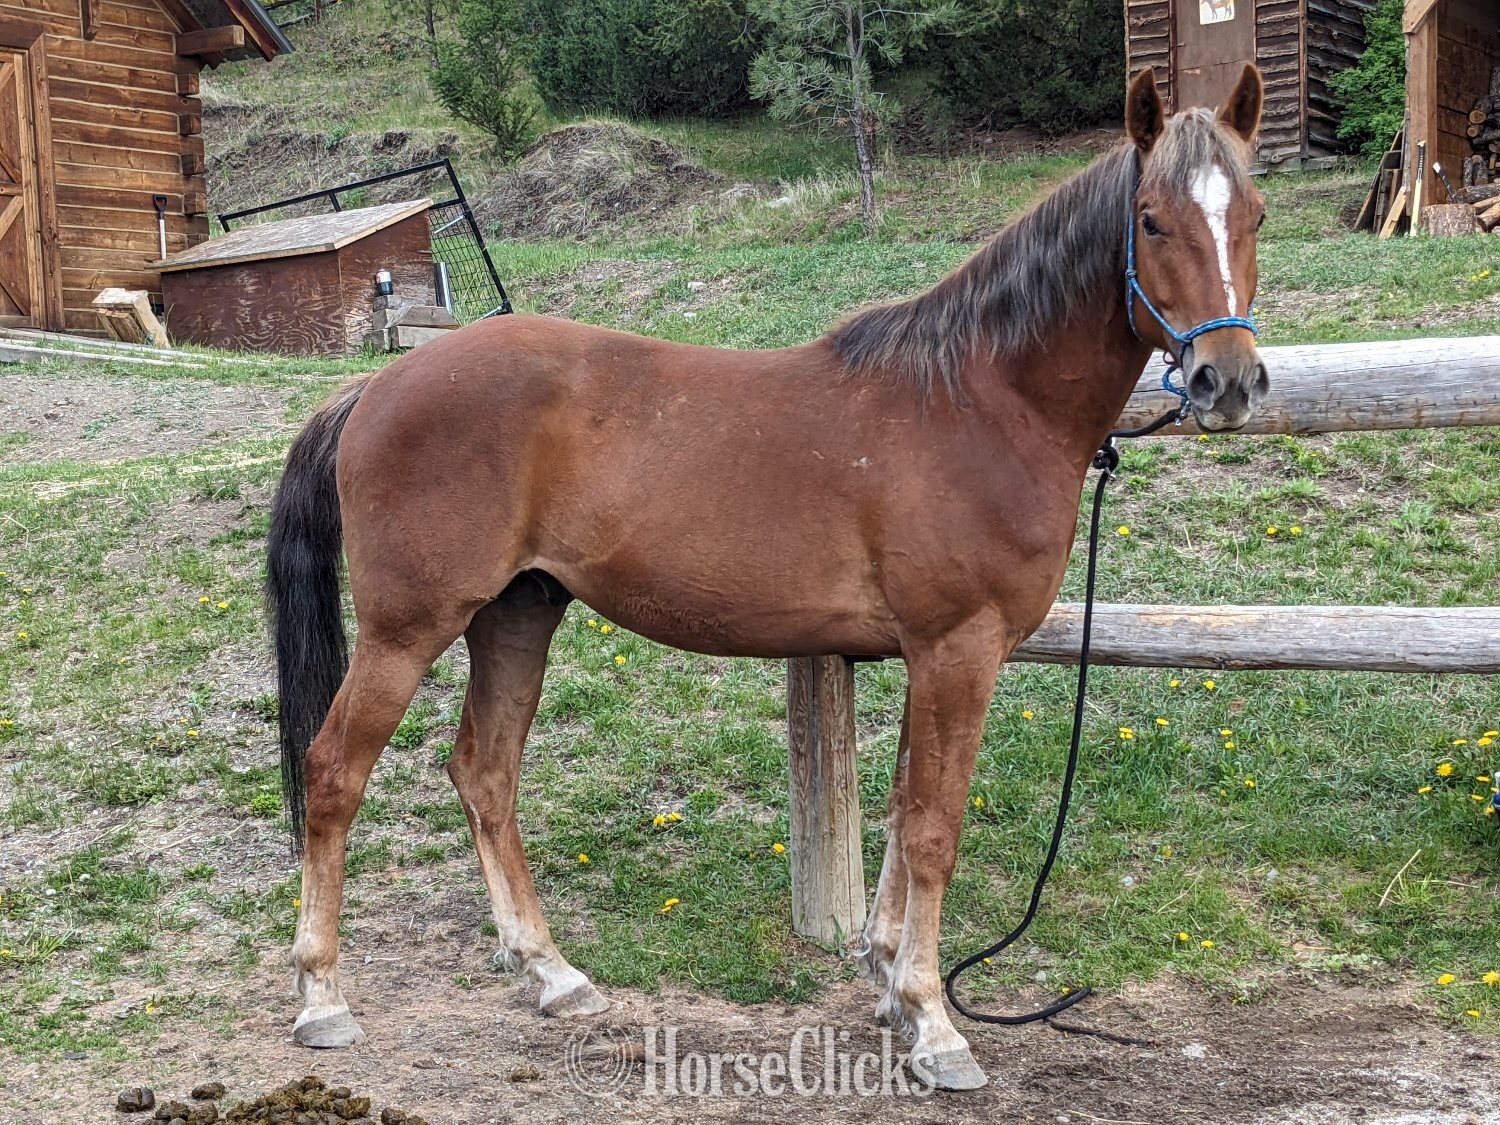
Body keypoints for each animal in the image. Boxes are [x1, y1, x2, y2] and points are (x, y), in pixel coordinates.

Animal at [265, 65, 1267, 1091]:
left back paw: (552, 974)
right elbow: (934, 828)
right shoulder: (959, 648)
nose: (1227, 381)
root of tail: (377, 386)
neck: (980, 399)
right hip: (408, 629)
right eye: (1151, 220)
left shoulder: (927, 655)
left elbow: (902, 813)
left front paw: (888, 982)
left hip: (515, 616)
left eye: (1255, 215)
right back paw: (322, 996)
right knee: (334, 773)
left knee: (484, 774)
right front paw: (934, 1022)